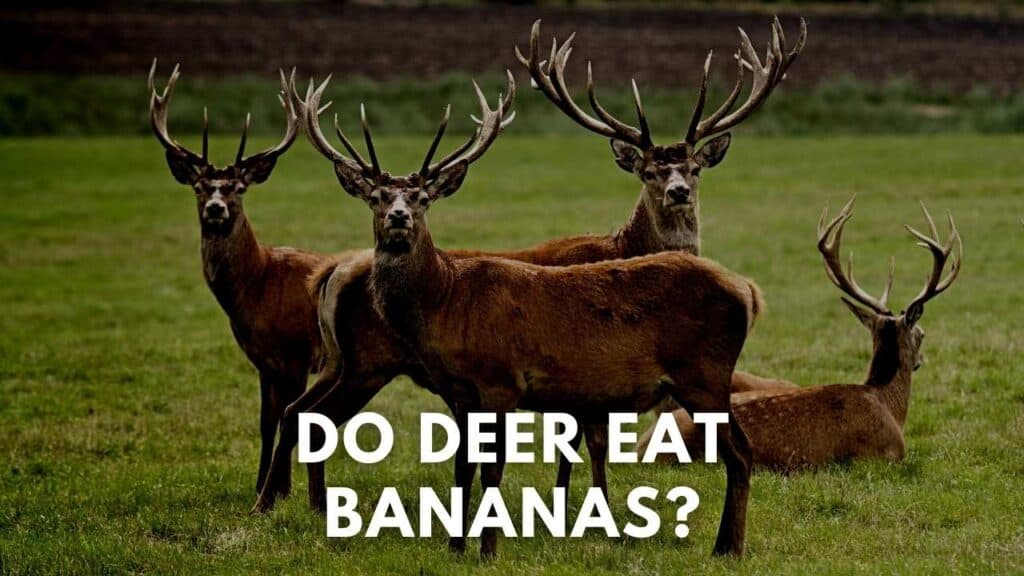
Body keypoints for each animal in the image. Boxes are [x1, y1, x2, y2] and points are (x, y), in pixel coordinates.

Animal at [149, 61, 362, 500]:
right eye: (199, 187)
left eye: (238, 188)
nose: (215, 208)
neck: (258, 288)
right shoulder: (263, 361)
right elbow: (266, 422)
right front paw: (262, 485)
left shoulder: (296, 354)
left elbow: (289, 419)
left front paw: (280, 489)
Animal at [254, 17, 805, 514]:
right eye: (650, 171)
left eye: (693, 168)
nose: (678, 192)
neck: (623, 246)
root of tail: (330, 273)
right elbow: (589, 441)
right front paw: (588, 508)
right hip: (367, 361)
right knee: (309, 418)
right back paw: (287, 503)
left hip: (337, 360)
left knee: (299, 413)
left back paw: (289, 500)